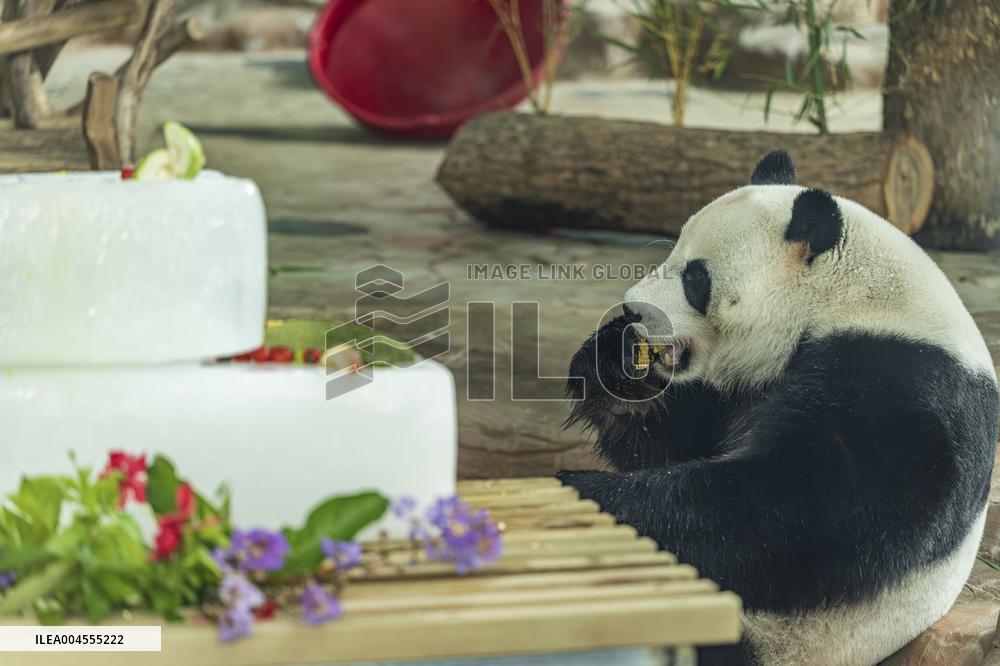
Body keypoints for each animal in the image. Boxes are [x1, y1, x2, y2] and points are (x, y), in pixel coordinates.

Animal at [557, 150, 998, 665]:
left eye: (695, 279)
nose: (634, 309)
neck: (847, 299)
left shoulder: (902, 389)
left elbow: (798, 513)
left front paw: (588, 489)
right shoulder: (749, 385)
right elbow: (679, 442)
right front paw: (616, 362)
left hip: (789, 639)